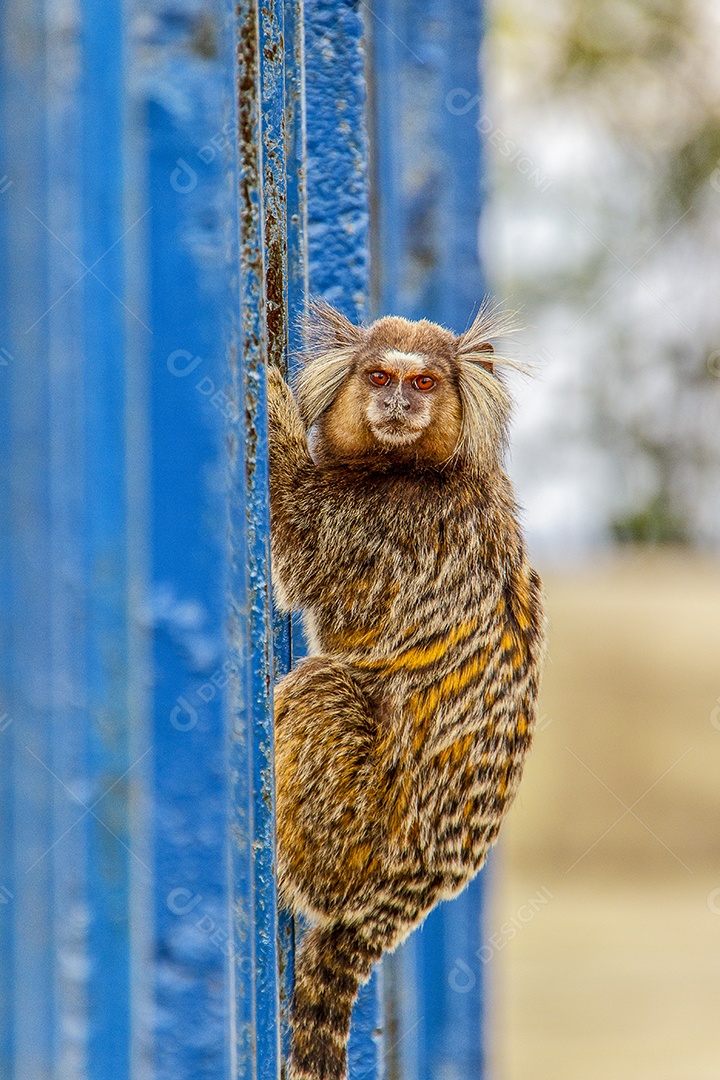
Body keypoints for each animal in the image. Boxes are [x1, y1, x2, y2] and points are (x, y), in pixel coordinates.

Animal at [267, 302, 544, 1080]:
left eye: (424, 382)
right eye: (380, 377)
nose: (398, 404)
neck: (409, 468)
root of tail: (410, 885)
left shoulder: (378, 528)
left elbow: (298, 546)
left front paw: (269, 406)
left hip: (361, 834)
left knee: (322, 690)